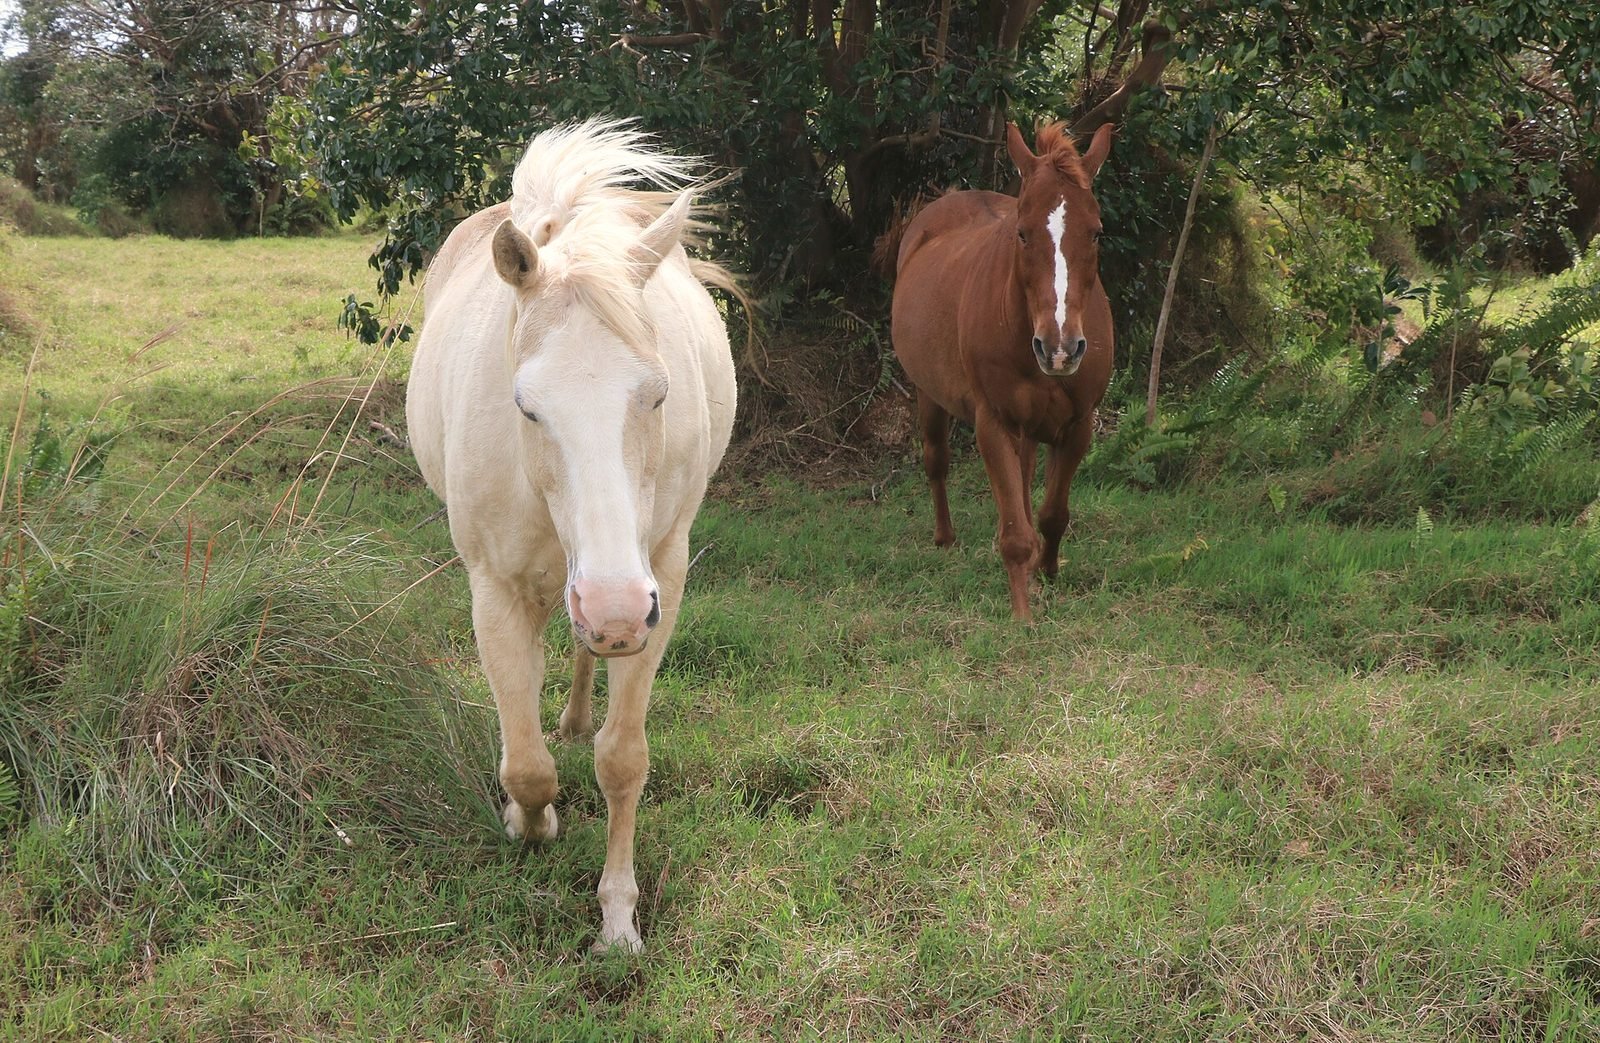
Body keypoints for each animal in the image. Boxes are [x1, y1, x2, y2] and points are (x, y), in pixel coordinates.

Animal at [406, 118, 737, 952]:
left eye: (658, 394)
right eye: (526, 405)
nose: (614, 609)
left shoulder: (660, 579)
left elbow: (621, 758)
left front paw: (618, 917)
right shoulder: (494, 588)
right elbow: (526, 763)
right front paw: (532, 822)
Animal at [885, 121, 1114, 622]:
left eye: (1096, 233)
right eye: (1023, 234)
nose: (1060, 349)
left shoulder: (1077, 425)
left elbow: (1051, 515)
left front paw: (1048, 573)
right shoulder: (993, 423)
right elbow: (1014, 532)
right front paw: (1022, 614)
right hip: (929, 395)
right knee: (937, 461)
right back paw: (945, 537)